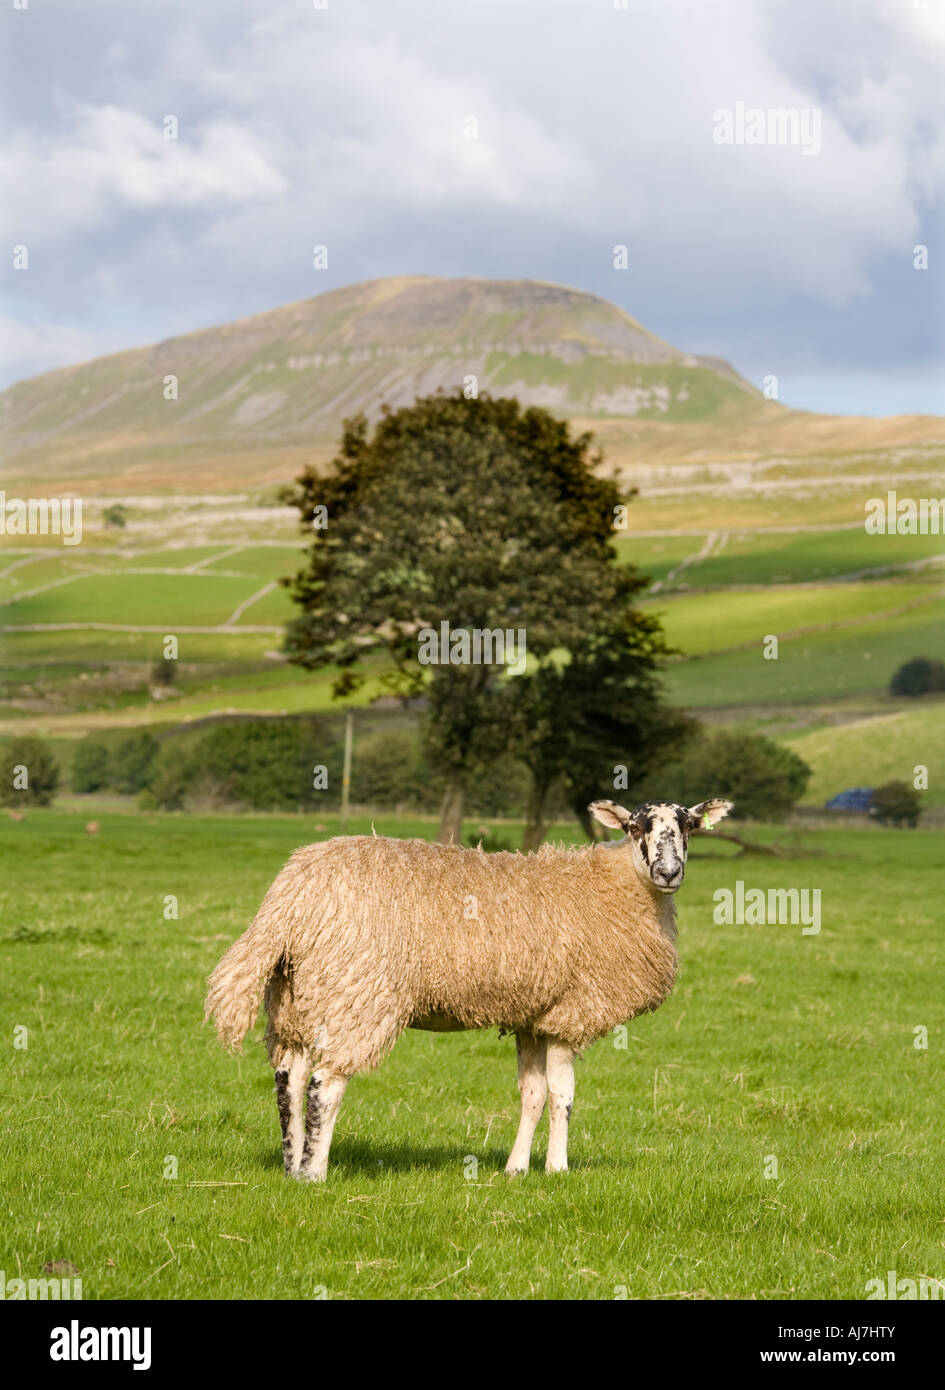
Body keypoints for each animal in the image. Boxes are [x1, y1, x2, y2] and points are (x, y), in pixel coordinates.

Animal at [202, 800, 728, 1178]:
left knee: (288, 1080)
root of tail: (289, 900)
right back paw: (315, 1173)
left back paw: (292, 1166)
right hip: (354, 992)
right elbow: (562, 1096)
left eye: (689, 827)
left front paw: (517, 1170)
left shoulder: (531, 1018)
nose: (668, 873)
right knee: (323, 1086)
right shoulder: (569, 1014)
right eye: (637, 828)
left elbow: (532, 1094)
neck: (619, 889)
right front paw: (558, 1170)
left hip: (296, 996)